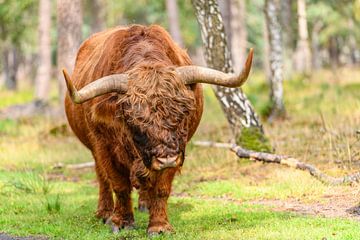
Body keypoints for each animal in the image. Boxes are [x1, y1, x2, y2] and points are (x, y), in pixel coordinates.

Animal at [62, 24, 253, 234]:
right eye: (133, 118)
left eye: (184, 112)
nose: (166, 158)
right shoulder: (104, 147)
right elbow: (118, 184)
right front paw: (121, 222)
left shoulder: (178, 150)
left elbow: (162, 188)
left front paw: (159, 225)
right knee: (102, 178)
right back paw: (104, 213)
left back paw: (145, 204)